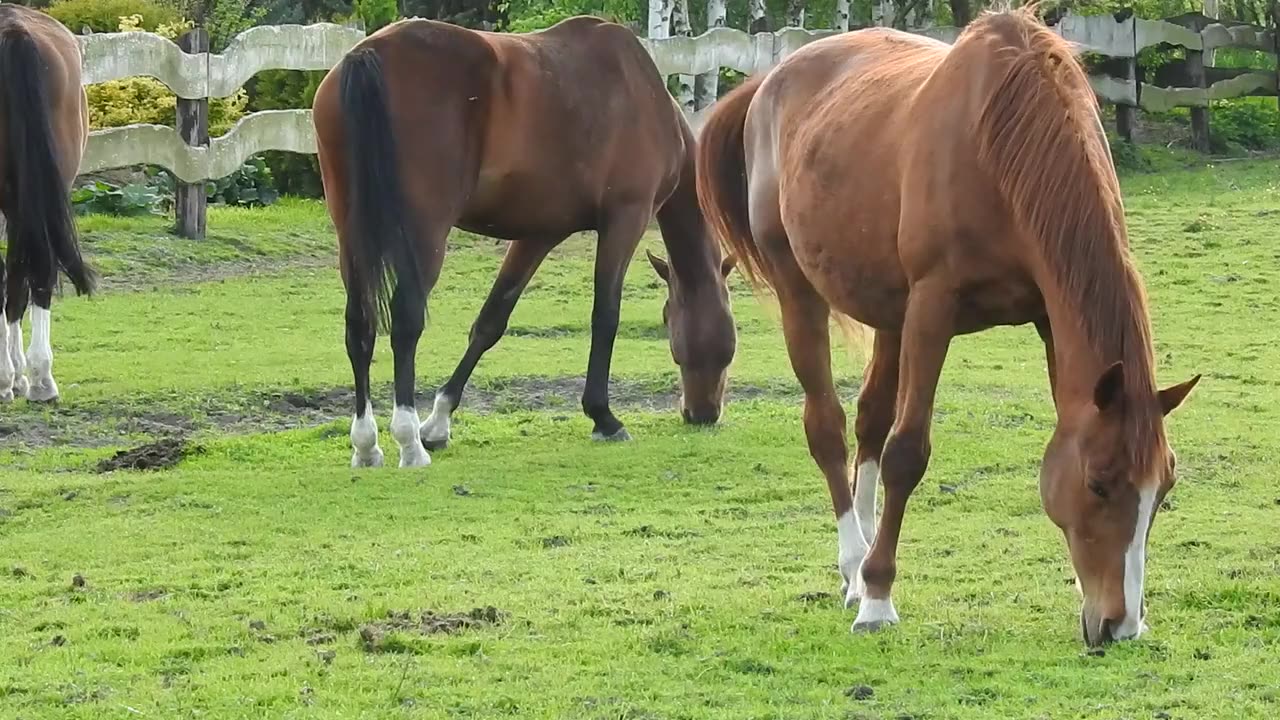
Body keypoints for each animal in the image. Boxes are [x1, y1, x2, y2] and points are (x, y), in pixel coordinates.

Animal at [312, 15, 742, 471]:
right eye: (726, 346)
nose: (703, 414)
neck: (643, 95)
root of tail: (367, 53)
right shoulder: (626, 218)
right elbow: (605, 316)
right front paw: (603, 416)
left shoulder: (538, 234)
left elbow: (491, 322)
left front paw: (440, 421)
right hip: (425, 235)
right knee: (406, 320)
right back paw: (408, 442)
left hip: (352, 235)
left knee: (359, 324)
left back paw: (366, 444)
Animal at [691, 5, 1198, 645]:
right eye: (1099, 483)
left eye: (1164, 489)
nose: (1121, 624)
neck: (1000, 147)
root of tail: (769, 84)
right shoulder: (933, 309)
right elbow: (909, 452)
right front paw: (878, 598)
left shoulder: (1045, 317)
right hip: (800, 292)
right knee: (827, 427)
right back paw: (855, 566)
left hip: (890, 312)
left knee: (869, 421)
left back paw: (859, 562)